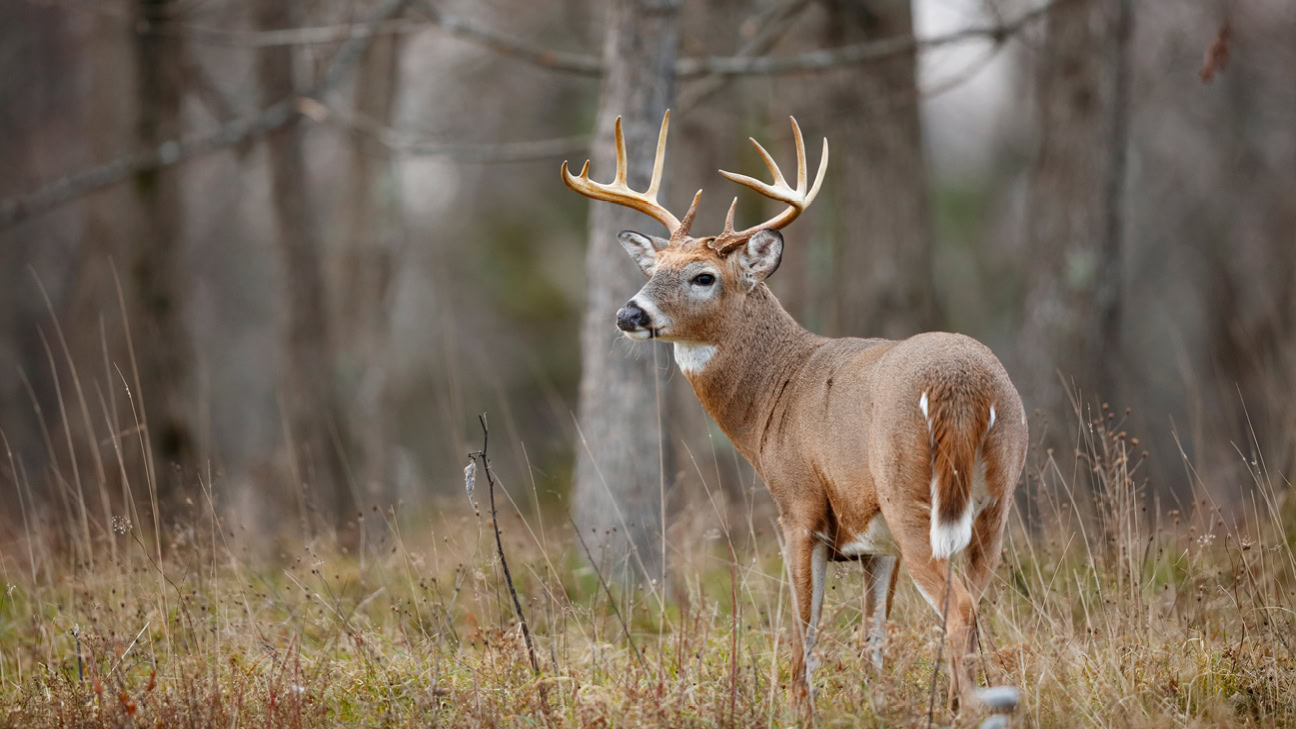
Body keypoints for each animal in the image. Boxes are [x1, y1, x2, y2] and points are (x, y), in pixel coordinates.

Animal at [561, 111, 1029, 716]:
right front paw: (873, 705)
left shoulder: (799, 506)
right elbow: (873, 635)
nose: (628, 314)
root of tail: (962, 386)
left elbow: (804, 626)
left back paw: (967, 711)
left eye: (703, 276)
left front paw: (797, 706)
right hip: (994, 501)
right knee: (974, 602)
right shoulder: (874, 541)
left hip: (911, 495)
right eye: (654, 267)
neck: (775, 396)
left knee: (960, 610)